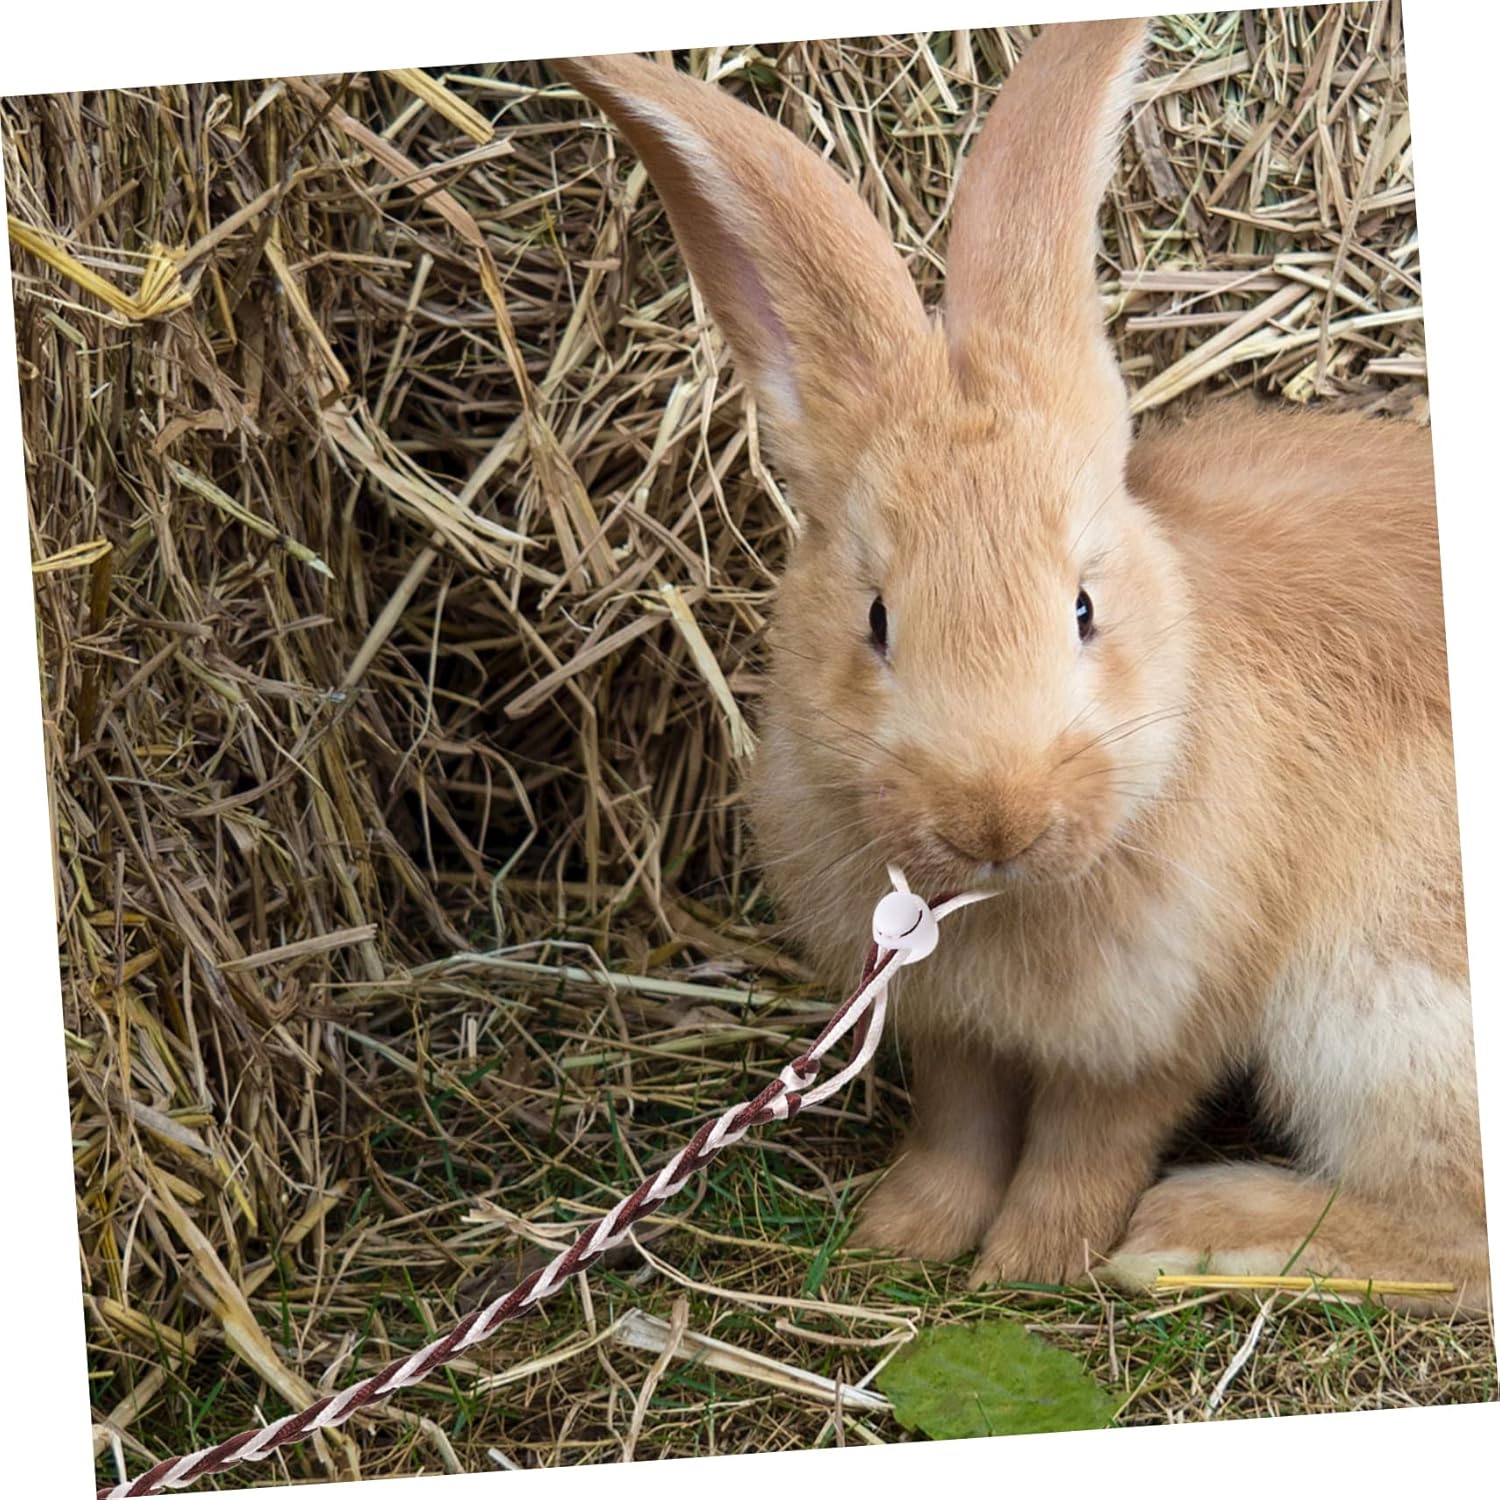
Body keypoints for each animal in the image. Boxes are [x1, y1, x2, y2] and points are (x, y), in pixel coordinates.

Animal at [554, 18, 1489, 1315]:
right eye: (877, 618)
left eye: (1085, 607)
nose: (997, 817)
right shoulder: (950, 1029)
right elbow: (961, 1128)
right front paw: (907, 1236)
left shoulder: (1161, 1027)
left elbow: (1086, 1145)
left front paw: (1033, 1263)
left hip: (1383, 1018)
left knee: (1450, 1238)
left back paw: (1196, 1229)